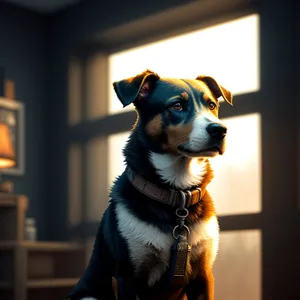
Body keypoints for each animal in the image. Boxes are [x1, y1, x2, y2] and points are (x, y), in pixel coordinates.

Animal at [67, 69, 232, 300]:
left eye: (211, 105)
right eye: (177, 105)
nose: (220, 130)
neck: (177, 194)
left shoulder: (203, 275)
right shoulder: (127, 275)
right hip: (88, 295)